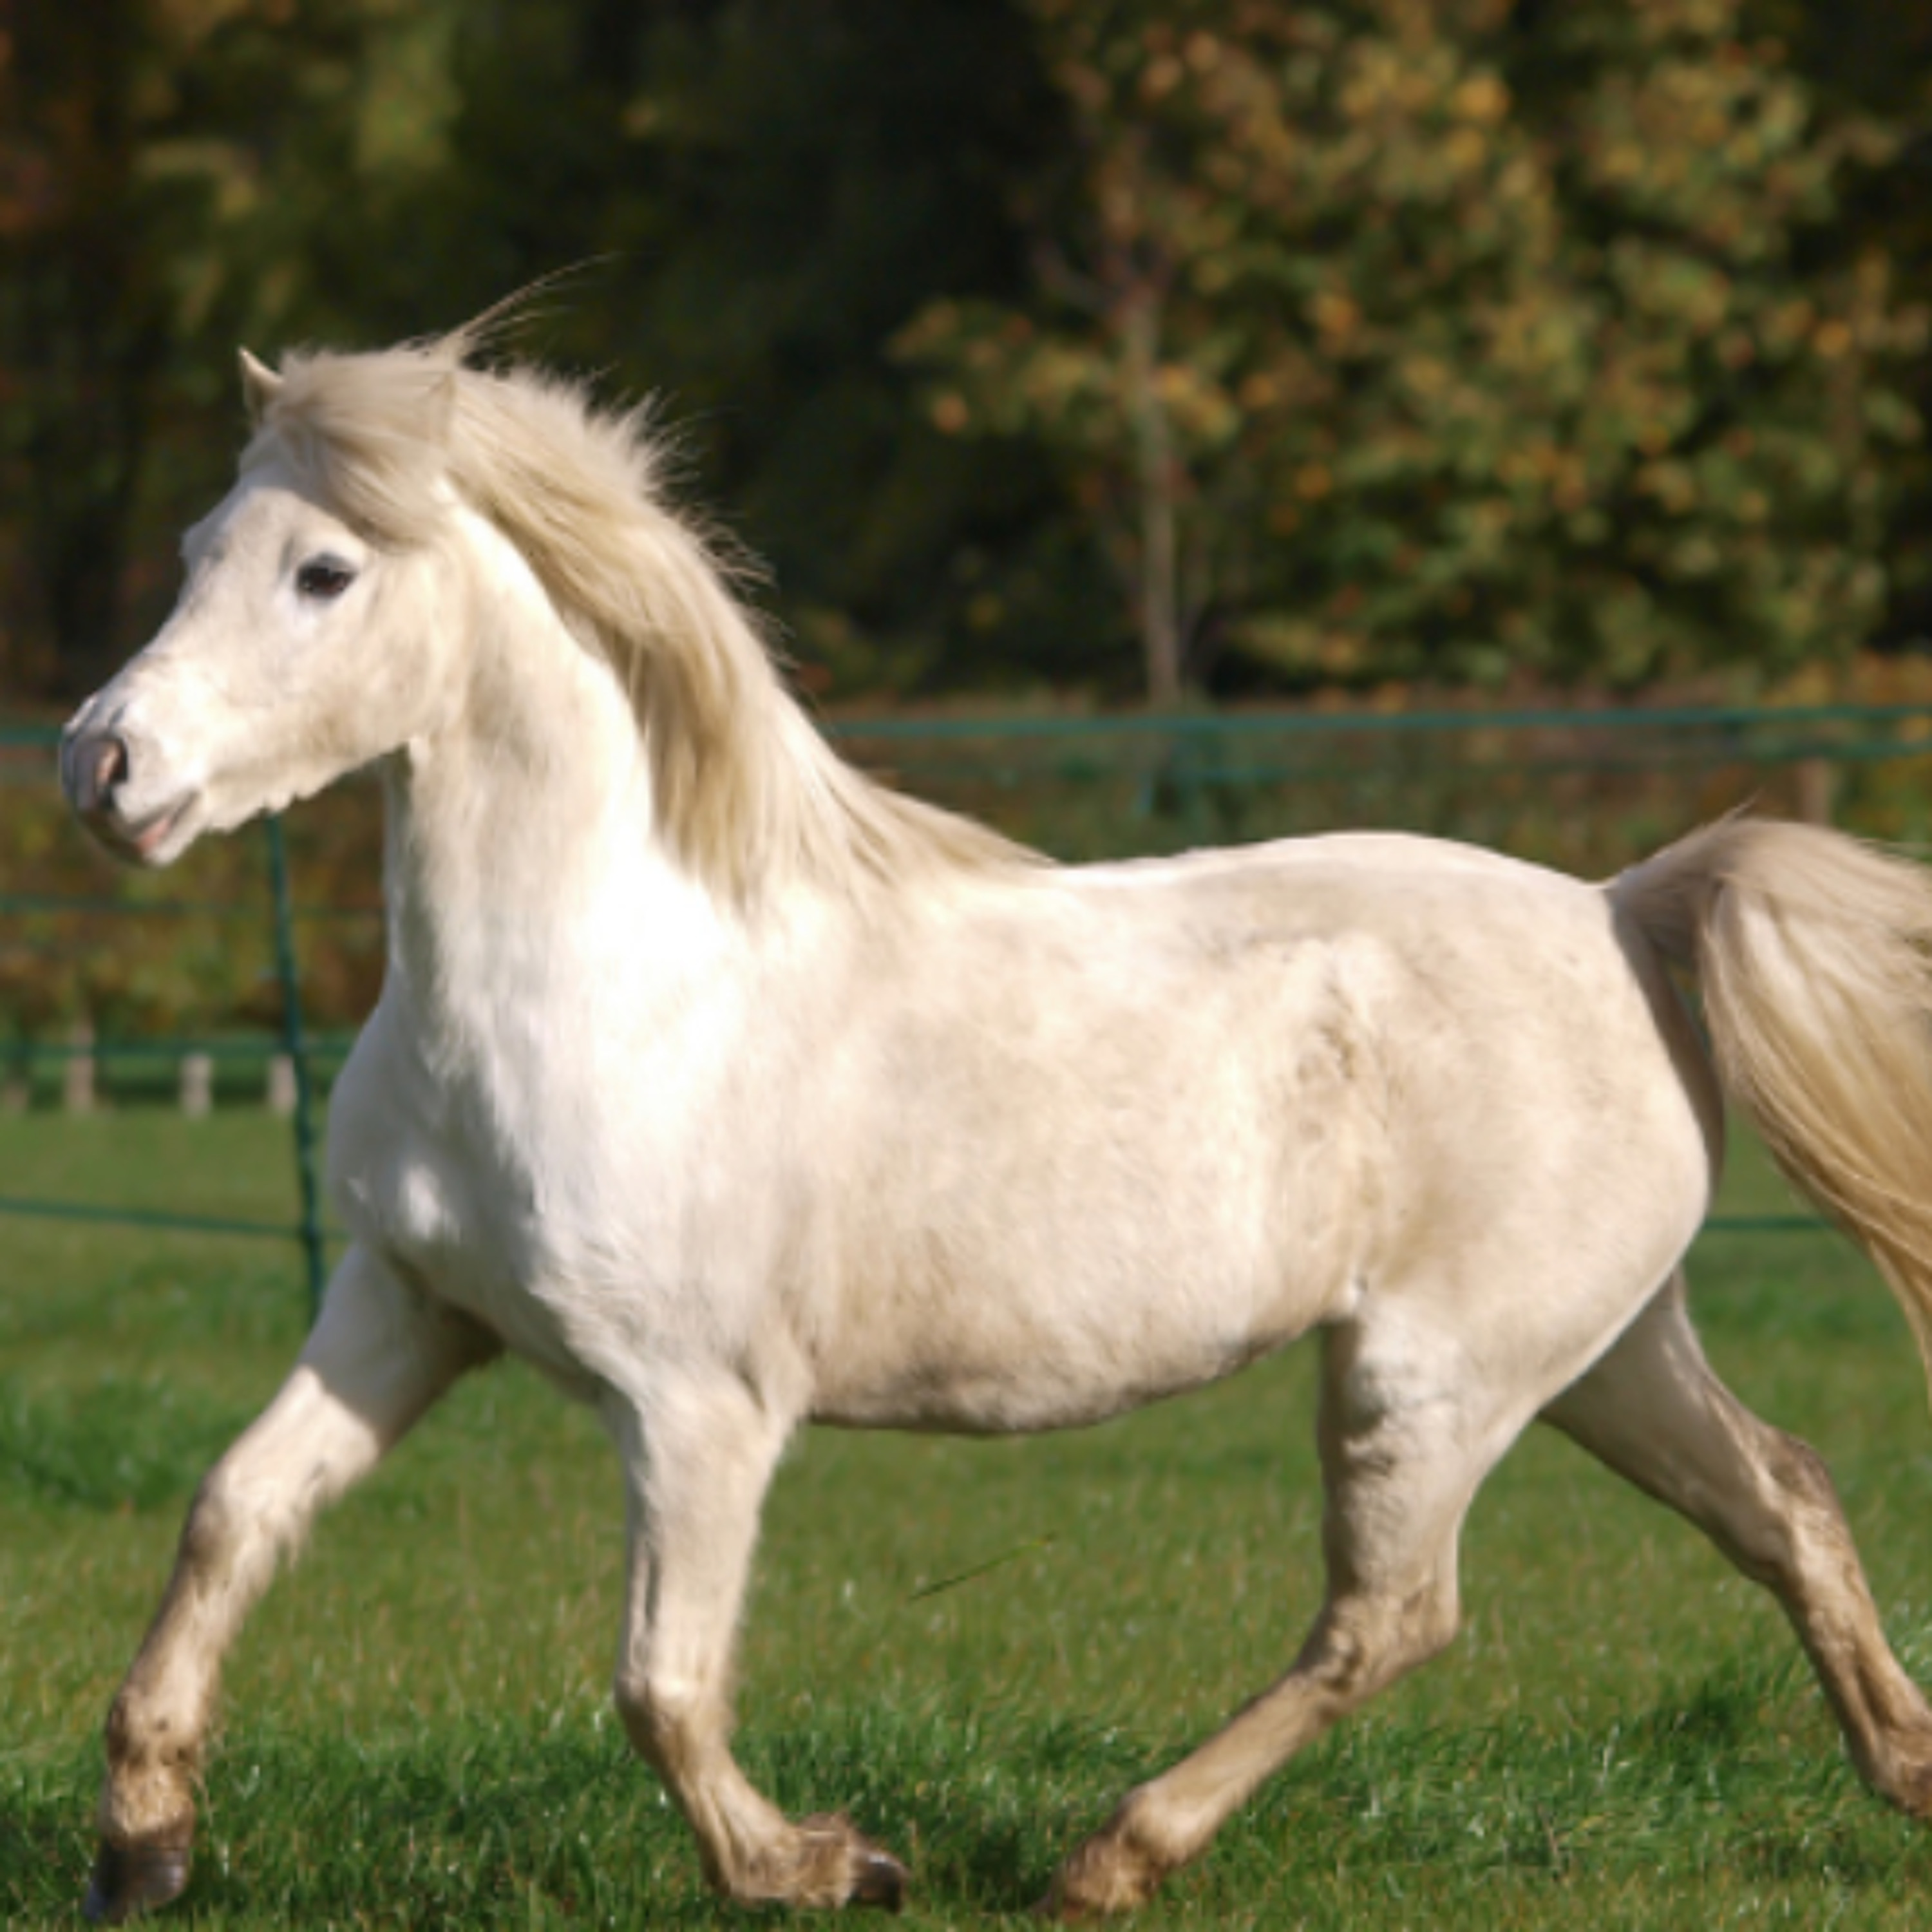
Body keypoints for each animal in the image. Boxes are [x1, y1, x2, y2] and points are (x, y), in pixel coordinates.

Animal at [61, 326, 1932, 1924]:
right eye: (197, 544)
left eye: (323, 570)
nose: (101, 767)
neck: (595, 986)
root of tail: (1624, 912)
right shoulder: (404, 1303)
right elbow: (230, 1513)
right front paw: (140, 1849)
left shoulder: (697, 1405)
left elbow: (662, 1686)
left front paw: (827, 1866)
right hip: (1602, 1349)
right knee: (1779, 1495)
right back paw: (1905, 1770)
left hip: (1438, 1375)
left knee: (1392, 1617)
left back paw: (1110, 1857)